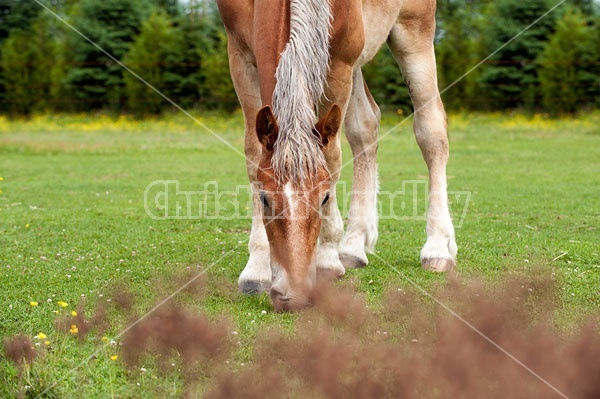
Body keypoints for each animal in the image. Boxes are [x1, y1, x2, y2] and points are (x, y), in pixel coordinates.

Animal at [218, 0, 458, 312]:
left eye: (325, 197)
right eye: (265, 199)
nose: (292, 294)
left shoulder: (339, 64)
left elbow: (331, 157)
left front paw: (326, 260)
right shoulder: (240, 56)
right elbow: (253, 154)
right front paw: (256, 269)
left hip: (413, 29)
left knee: (431, 131)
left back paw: (437, 248)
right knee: (365, 126)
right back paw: (355, 245)